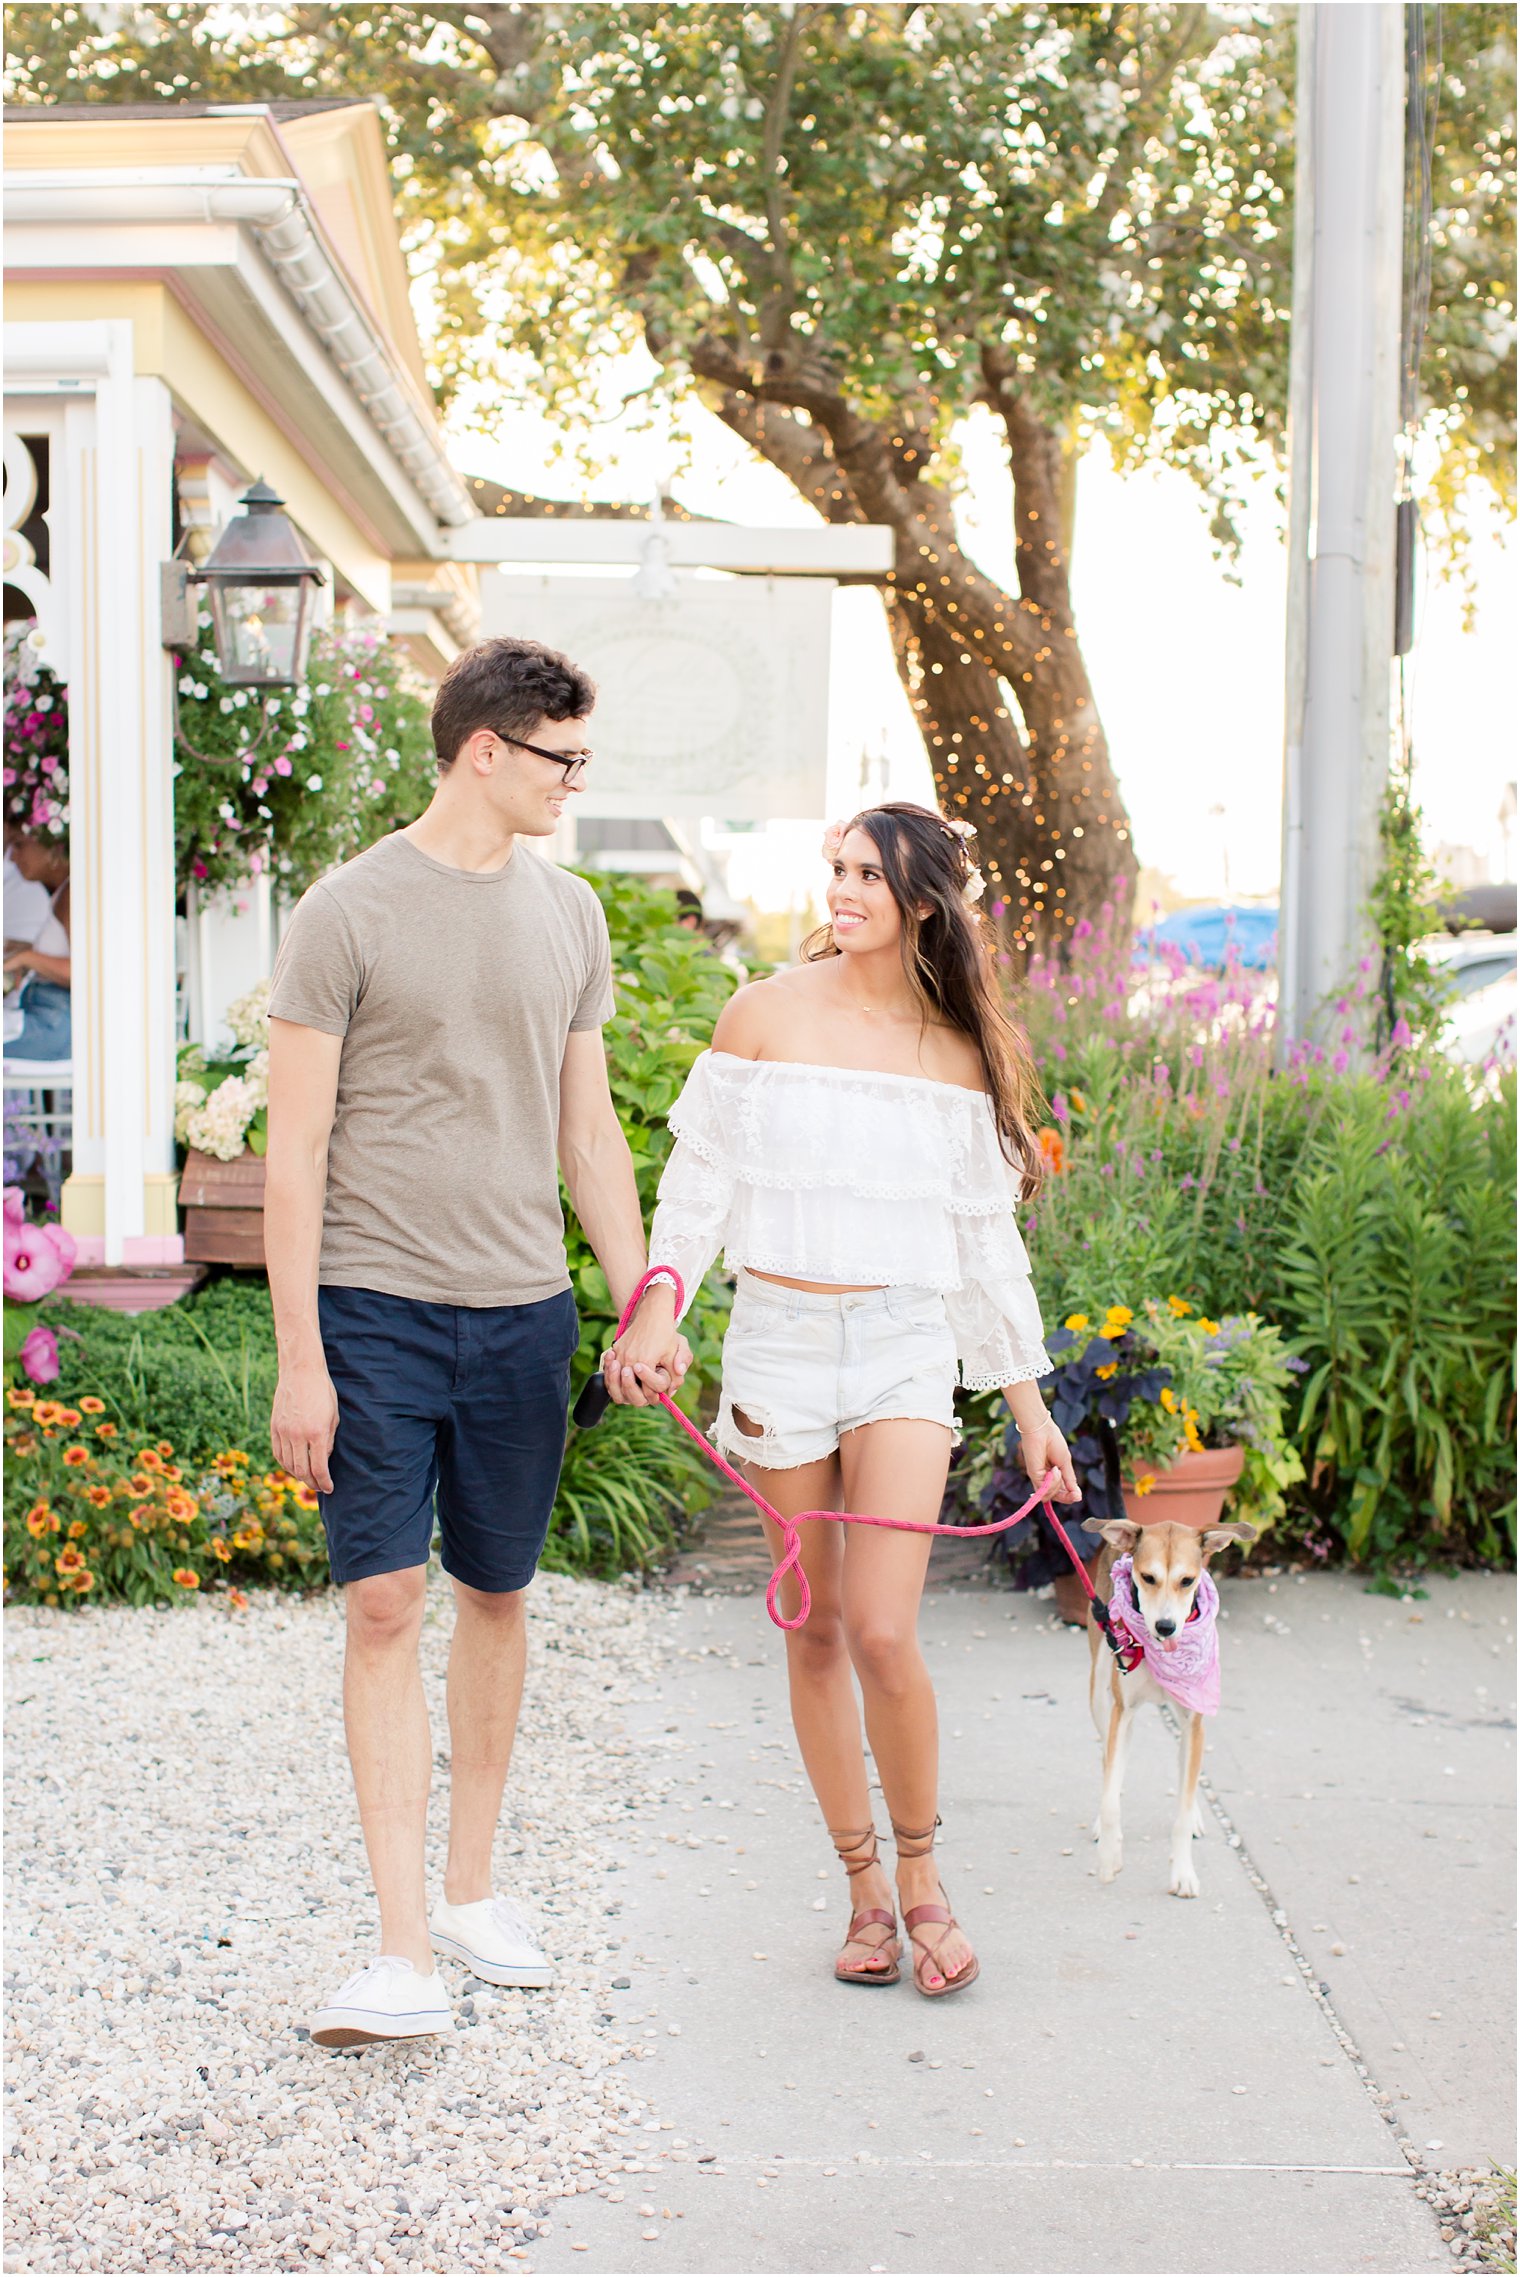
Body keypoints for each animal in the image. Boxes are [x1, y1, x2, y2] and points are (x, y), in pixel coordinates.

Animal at [1087, 1530, 1256, 1903]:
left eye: (1187, 1581)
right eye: (1147, 1578)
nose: (1165, 1627)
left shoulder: (1195, 1722)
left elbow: (1182, 1806)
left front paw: (1183, 1874)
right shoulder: (1122, 1712)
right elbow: (1109, 1799)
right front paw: (1108, 1858)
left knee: (1184, 1775)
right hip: (1099, 1695)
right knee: (1106, 1764)